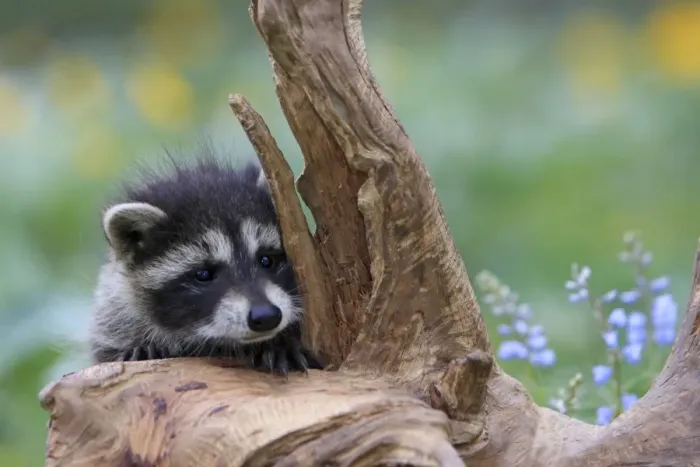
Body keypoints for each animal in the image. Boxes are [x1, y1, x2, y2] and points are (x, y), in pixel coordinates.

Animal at [88, 155, 323, 374]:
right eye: (203, 274)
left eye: (267, 260)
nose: (266, 316)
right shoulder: (114, 315)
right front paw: (143, 348)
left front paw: (281, 343)